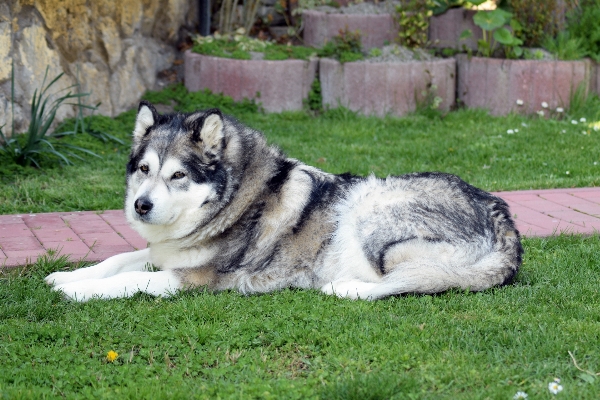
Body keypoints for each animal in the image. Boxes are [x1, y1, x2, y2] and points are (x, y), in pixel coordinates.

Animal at [44, 101, 524, 302]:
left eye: (178, 175)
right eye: (144, 169)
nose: (140, 206)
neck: (232, 202)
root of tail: (504, 218)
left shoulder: (197, 278)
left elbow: (129, 280)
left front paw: (79, 291)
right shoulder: (164, 253)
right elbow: (118, 259)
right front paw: (67, 276)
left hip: (370, 212)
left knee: (410, 281)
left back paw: (345, 288)